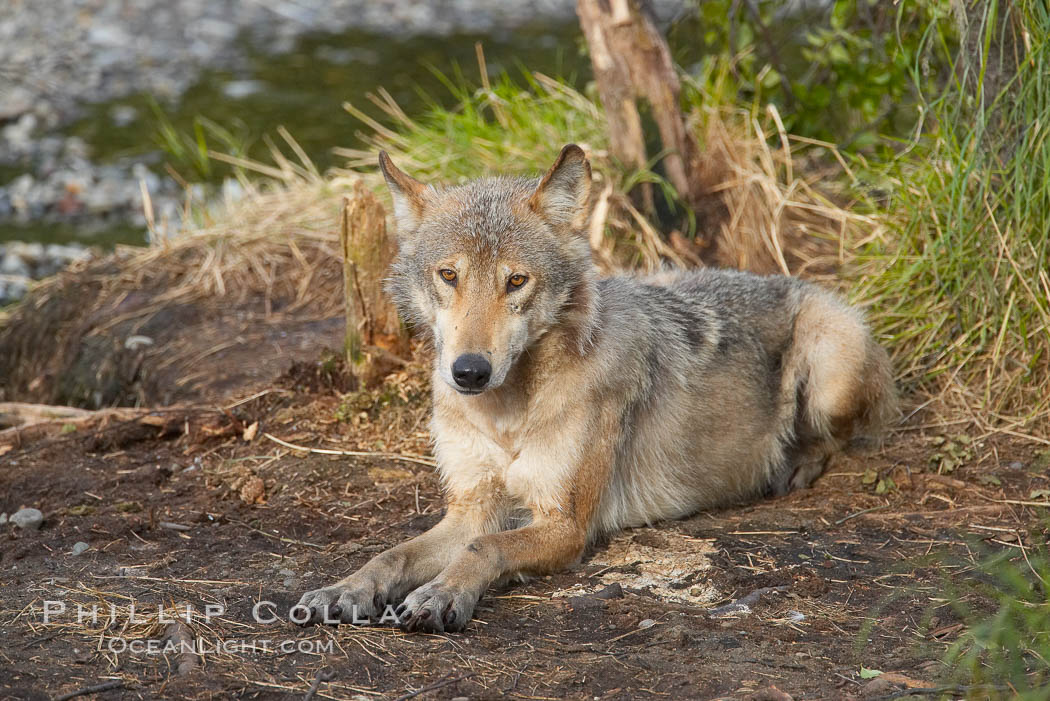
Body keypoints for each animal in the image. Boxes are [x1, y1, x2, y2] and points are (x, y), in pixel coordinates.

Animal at [298, 144, 894, 633]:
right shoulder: (470, 507)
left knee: (837, 436)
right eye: (449, 275)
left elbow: (482, 549)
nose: (468, 371)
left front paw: (441, 595)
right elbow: (393, 554)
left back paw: (794, 465)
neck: (507, 413)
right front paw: (345, 589)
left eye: (516, 281)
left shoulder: (565, 525)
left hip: (832, 362)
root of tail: (789, 277)